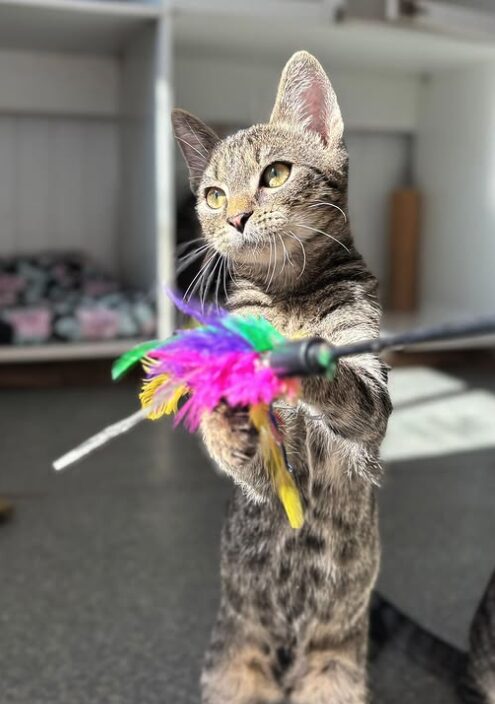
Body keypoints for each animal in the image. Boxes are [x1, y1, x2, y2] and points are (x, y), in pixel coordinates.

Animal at [172, 51, 394, 704]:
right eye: (213, 195)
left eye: (274, 175)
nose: (237, 216)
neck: (289, 295)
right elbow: (243, 451)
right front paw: (228, 417)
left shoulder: (372, 395)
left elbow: (347, 386)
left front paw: (301, 359)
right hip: (235, 668)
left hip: (335, 669)